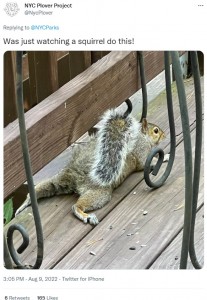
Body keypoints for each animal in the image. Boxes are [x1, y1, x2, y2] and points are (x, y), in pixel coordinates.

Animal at [15, 101, 166, 225]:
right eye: (156, 131)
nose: (164, 135)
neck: (142, 137)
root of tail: (74, 172)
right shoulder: (140, 150)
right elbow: (143, 163)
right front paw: (164, 157)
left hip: (60, 180)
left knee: (44, 187)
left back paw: (24, 204)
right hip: (98, 191)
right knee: (76, 206)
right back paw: (86, 216)